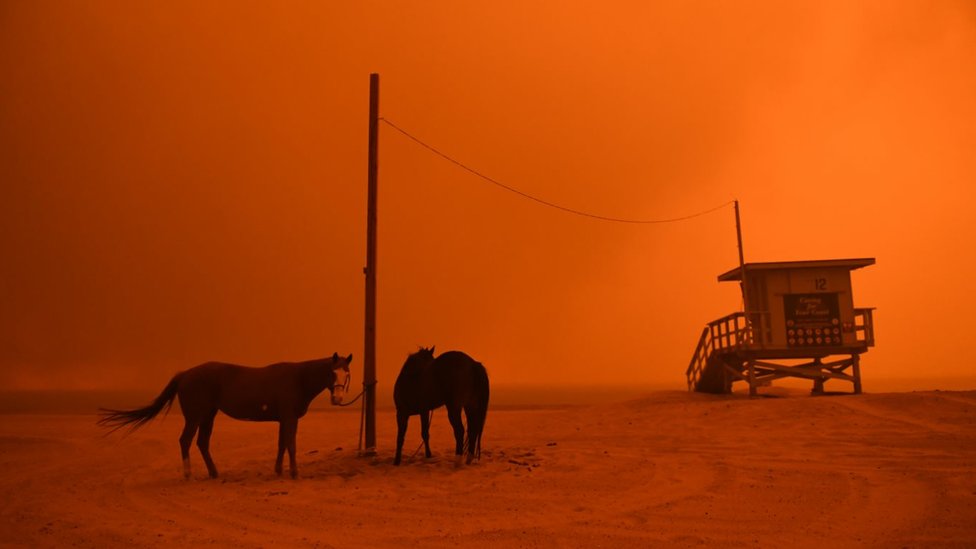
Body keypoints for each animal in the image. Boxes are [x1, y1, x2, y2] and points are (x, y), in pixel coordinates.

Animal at [95, 354, 352, 478]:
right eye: (332, 372)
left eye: (346, 373)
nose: (337, 399)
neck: (298, 378)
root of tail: (185, 374)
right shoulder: (290, 418)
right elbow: (291, 445)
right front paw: (293, 473)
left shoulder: (284, 419)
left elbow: (281, 445)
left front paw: (279, 470)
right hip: (195, 416)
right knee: (186, 441)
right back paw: (188, 474)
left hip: (209, 415)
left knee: (202, 443)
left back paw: (213, 473)